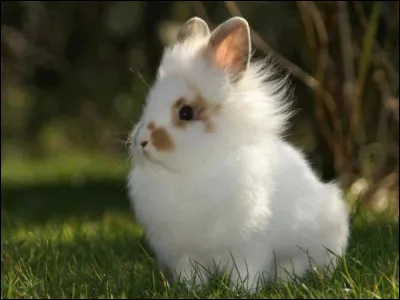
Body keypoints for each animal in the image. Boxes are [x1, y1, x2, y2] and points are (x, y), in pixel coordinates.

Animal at [126, 17, 348, 292]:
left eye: (186, 112)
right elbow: (191, 273)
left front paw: (242, 290)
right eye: (148, 105)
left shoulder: (249, 247)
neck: (192, 168)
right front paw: (190, 289)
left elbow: (247, 270)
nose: (142, 142)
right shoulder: (186, 254)